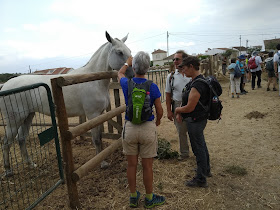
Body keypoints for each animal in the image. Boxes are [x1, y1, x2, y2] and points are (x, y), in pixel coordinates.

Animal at [0, 30, 132, 176]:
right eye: (120, 52)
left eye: (129, 51)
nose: (134, 72)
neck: (92, 80)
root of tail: (5, 86)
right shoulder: (92, 115)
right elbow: (96, 139)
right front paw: (102, 163)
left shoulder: (100, 115)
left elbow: (99, 138)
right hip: (14, 120)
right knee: (6, 142)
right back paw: (8, 170)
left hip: (28, 115)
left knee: (21, 138)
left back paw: (31, 164)